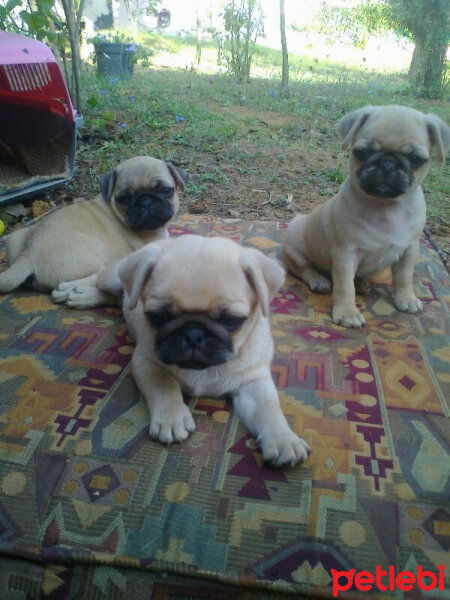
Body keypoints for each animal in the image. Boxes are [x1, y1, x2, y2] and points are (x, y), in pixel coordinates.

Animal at [0, 157, 186, 308]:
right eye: (124, 199)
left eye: (165, 190)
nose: (145, 201)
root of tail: (28, 254)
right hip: (97, 254)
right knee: (102, 276)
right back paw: (70, 291)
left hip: (14, 238)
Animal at [98, 236, 312, 468]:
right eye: (159, 316)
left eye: (231, 320)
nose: (193, 334)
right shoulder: (146, 363)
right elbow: (164, 386)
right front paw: (171, 418)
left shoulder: (254, 381)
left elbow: (269, 408)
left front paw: (284, 439)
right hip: (111, 277)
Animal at [284, 104, 448, 328]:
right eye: (362, 152)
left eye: (415, 159)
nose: (387, 164)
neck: (386, 207)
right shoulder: (346, 255)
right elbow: (345, 287)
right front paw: (347, 312)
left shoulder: (409, 249)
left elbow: (404, 277)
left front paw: (406, 298)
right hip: (294, 247)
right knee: (303, 269)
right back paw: (319, 280)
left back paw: (362, 284)